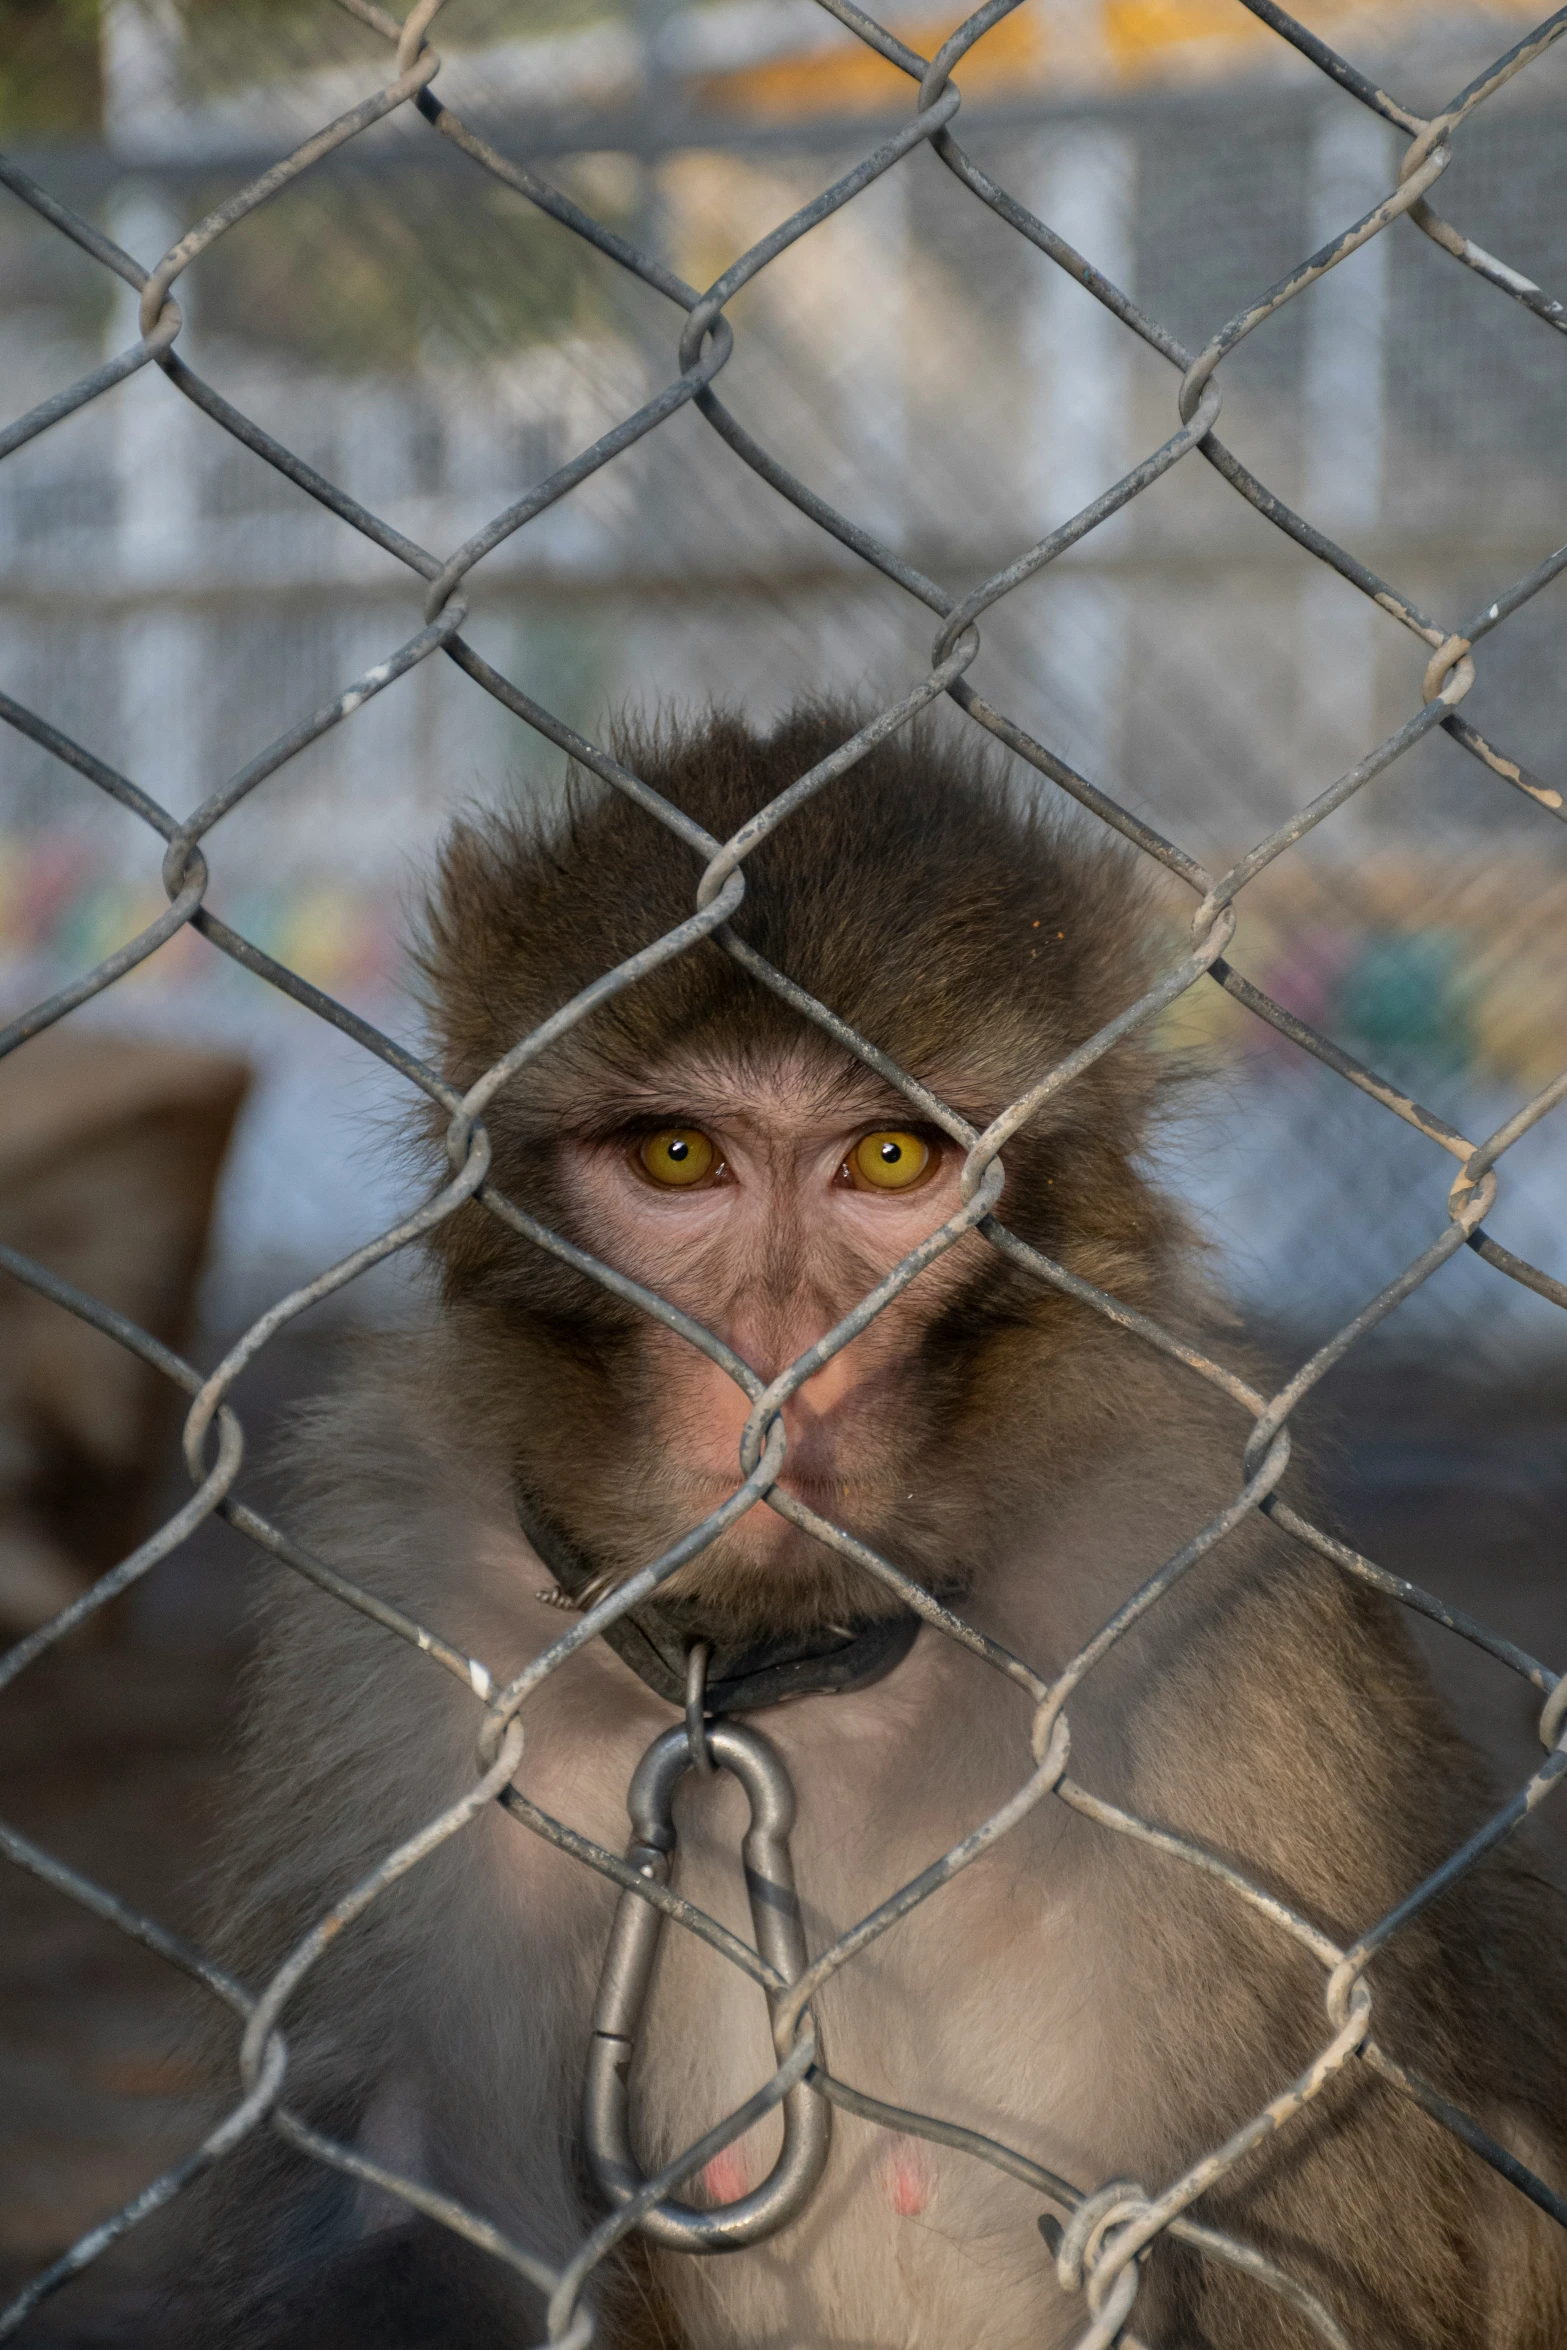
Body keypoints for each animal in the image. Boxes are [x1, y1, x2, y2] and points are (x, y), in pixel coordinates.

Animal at [150, 705, 1567, 2350]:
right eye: (679, 1157)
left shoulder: (1213, 1612)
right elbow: (395, 2194)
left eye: (888, 1159)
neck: (781, 1672)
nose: (779, 1350)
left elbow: (1309, 2245)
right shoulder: (405, 1606)